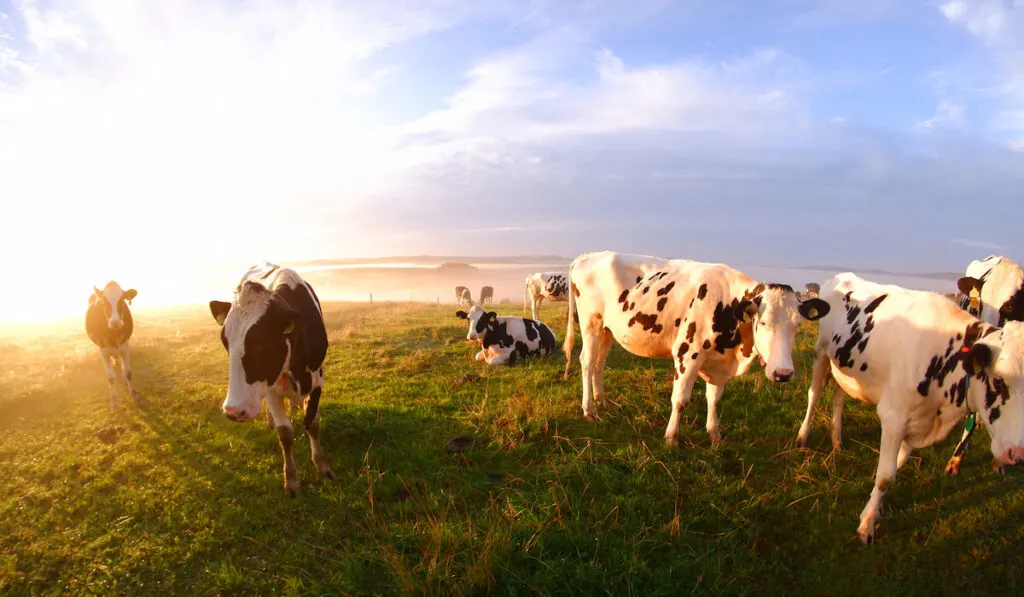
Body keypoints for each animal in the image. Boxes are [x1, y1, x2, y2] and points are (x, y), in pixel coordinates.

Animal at [84, 280, 143, 411]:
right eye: (104, 302)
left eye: (122, 300)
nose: (115, 322)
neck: (114, 334)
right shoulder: (103, 351)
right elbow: (110, 377)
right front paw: (114, 402)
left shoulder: (125, 346)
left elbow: (128, 372)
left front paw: (135, 396)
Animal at [207, 264, 335, 497]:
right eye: (225, 341)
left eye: (261, 342)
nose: (233, 411)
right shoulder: (271, 390)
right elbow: (285, 433)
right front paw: (291, 480)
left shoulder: (317, 380)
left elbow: (311, 422)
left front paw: (322, 466)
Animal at [565, 249, 827, 446]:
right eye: (763, 323)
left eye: (797, 325)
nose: (783, 374)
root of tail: (587, 256)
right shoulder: (687, 354)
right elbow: (680, 399)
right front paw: (671, 437)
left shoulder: (719, 363)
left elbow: (715, 399)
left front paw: (714, 434)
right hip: (590, 324)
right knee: (587, 362)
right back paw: (589, 410)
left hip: (606, 330)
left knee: (599, 363)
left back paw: (601, 400)